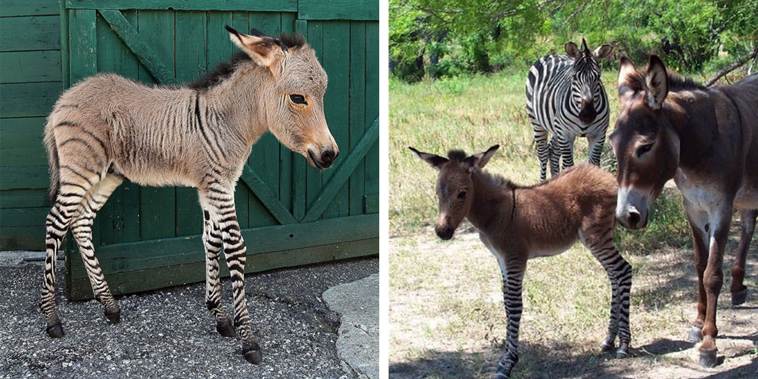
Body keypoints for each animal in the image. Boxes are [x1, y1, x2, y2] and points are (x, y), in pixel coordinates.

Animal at [40, 24, 338, 366]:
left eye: (322, 96)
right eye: (298, 98)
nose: (330, 155)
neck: (228, 122)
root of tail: (66, 97)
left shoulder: (214, 186)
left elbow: (211, 241)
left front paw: (219, 316)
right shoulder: (219, 184)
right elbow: (235, 247)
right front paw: (248, 339)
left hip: (107, 175)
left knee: (80, 222)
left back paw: (109, 306)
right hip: (81, 169)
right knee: (56, 223)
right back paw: (52, 319)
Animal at [412, 145, 632, 379]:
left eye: (462, 193)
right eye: (437, 193)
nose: (442, 232)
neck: (494, 213)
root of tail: (606, 176)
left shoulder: (514, 258)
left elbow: (514, 305)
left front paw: (508, 364)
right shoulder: (501, 260)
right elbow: (507, 304)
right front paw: (505, 359)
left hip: (596, 237)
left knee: (623, 270)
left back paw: (624, 345)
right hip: (600, 238)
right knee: (614, 276)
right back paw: (609, 340)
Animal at [528, 38, 616, 181]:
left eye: (598, 77)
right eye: (574, 77)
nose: (587, 115)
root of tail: (552, 55)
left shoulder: (599, 134)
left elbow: (594, 165)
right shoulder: (565, 133)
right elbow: (568, 165)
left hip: (556, 127)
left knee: (553, 151)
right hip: (537, 122)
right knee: (543, 154)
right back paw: (543, 181)